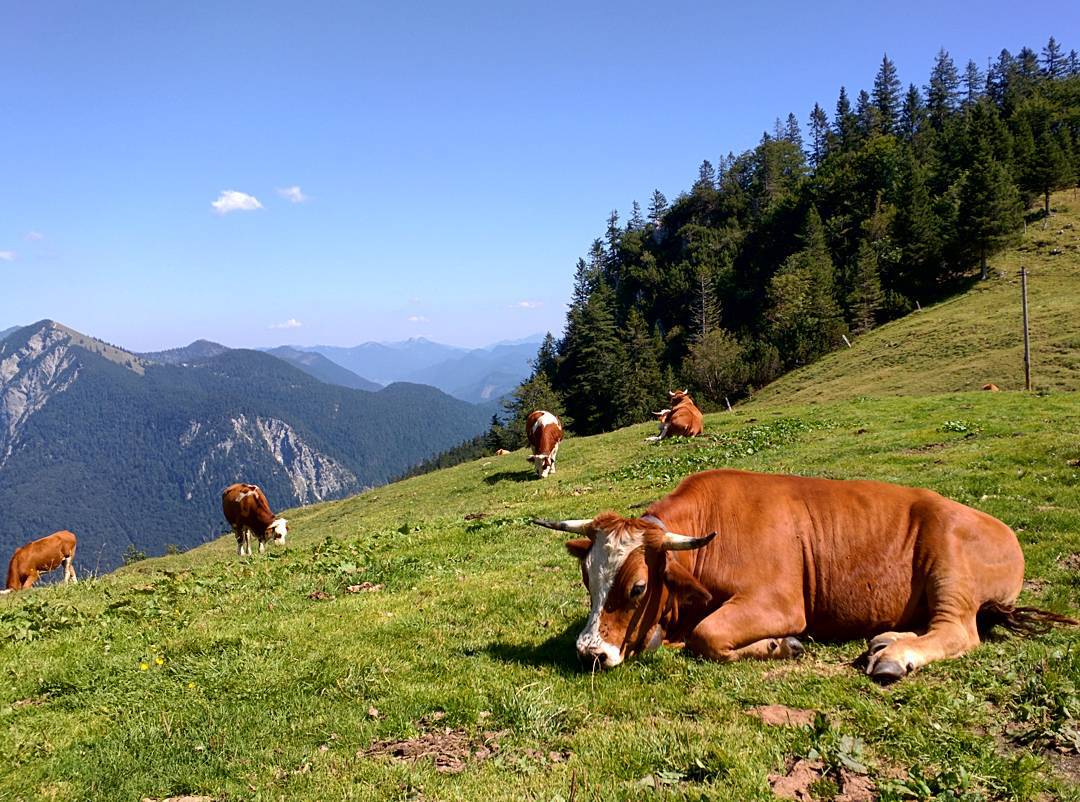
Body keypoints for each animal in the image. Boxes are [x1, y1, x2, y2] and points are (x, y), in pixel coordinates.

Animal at [534, 469, 1075, 681]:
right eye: (587, 580)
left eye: (638, 587)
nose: (588, 653)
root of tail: (1001, 529)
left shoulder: (778, 601)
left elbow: (707, 637)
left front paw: (781, 645)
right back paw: (885, 640)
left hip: (949, 565)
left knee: (958, 631)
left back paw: (893, 657)